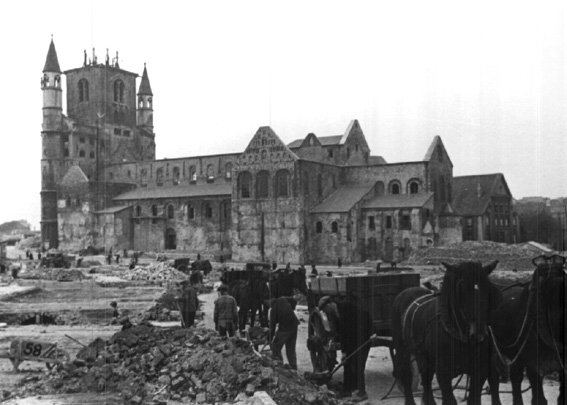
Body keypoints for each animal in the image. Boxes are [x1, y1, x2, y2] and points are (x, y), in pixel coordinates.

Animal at [390, 258, 502, 404]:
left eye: (487, 286)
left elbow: (473, 398)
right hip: (403, 348)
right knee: (405, 373)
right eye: (461, 287)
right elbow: (449, 399)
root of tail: (405, 292)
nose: (478, 333)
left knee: (425, 377)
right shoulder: (443, 372)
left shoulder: (479, 371)